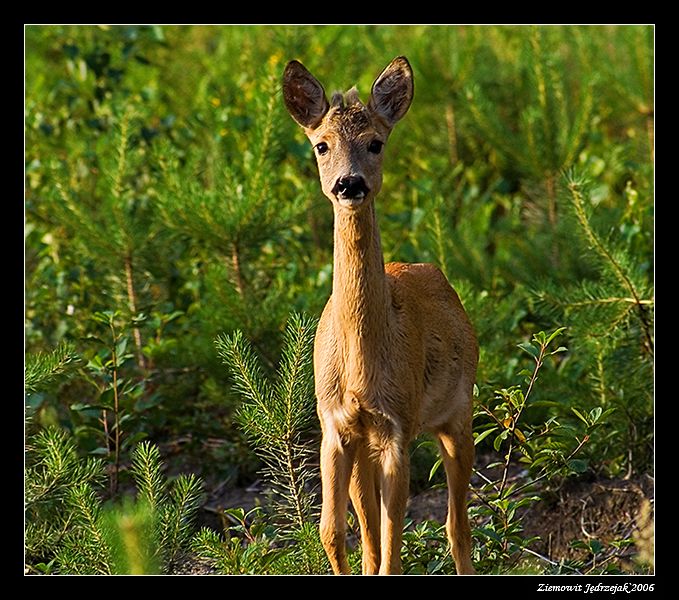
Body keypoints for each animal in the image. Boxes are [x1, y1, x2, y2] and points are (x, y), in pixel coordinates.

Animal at [282, 57, 478, 576]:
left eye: (376, 142)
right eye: (321, 144)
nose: (349, 183)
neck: (360, 366)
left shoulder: (397, 428)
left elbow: (393, 547)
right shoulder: (335, 426)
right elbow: (336, 533)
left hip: (458, 412)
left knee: (457, 525)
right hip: (367, 445)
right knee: (372, 532)